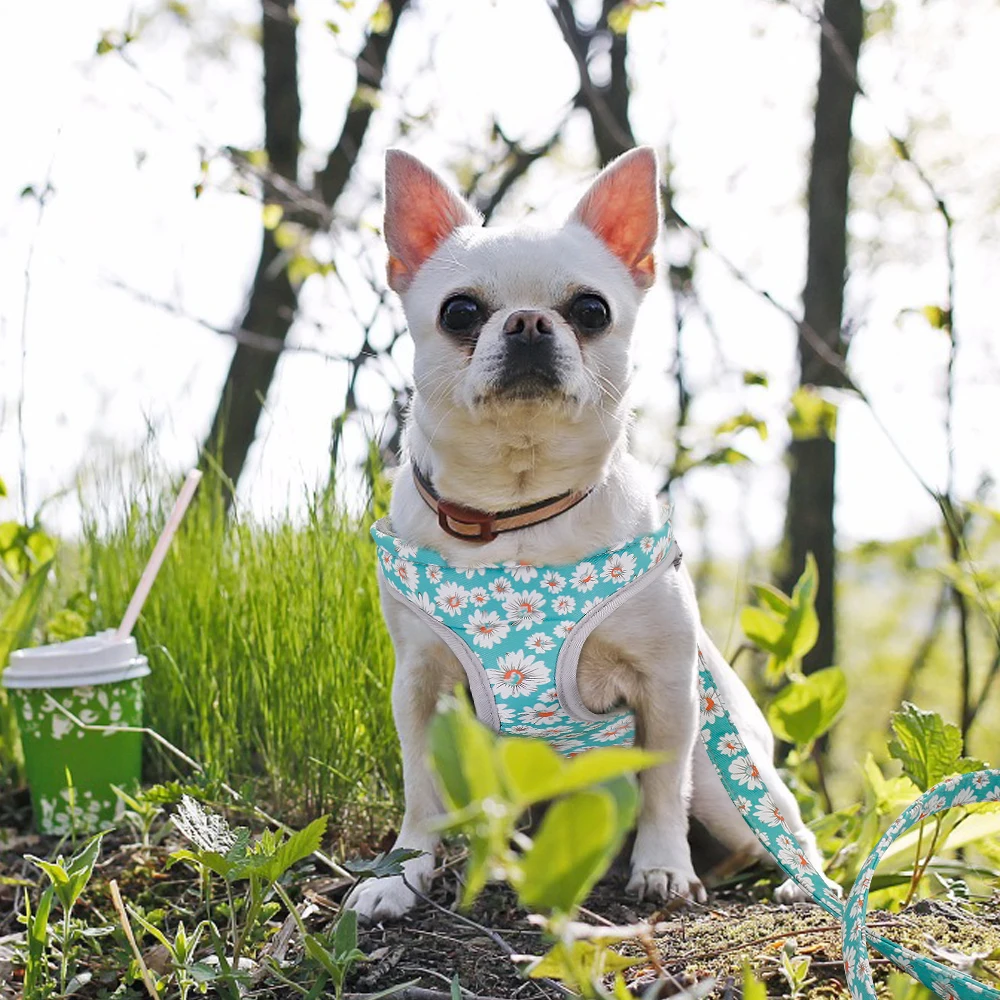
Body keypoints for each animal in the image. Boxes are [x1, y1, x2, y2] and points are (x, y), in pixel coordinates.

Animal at [348, 148, 824, 920]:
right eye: (460, 312)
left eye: (592, 311)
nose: (529, 322)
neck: (518, 514)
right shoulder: (420, 687)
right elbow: (421, 793)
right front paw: (400, 873)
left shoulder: (667, 688)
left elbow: (661, 789)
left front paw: (662, 869)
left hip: (722, 781)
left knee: (780, 825)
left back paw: (791, 878)